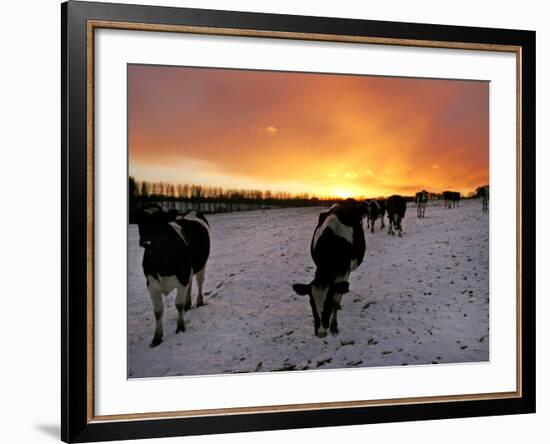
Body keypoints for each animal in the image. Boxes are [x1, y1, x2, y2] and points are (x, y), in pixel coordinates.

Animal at [137, 205, 211, 346]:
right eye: (140, 221)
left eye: (160, 221)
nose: (146, 241)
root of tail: (191, 211)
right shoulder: (151, 285)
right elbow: (158, 311)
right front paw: (157, 338)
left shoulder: (183, 277)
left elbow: (178, 304)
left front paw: (180, 327)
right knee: (191, 285)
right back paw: (188, 304)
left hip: (202, 264)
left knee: (199, 282)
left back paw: (199, 301)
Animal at [292, 199, 368, 336]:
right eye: (311, 304)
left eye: (328, 303)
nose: (321, 332)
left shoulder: (344, 271)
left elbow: (337, 299)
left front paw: (334, 326)